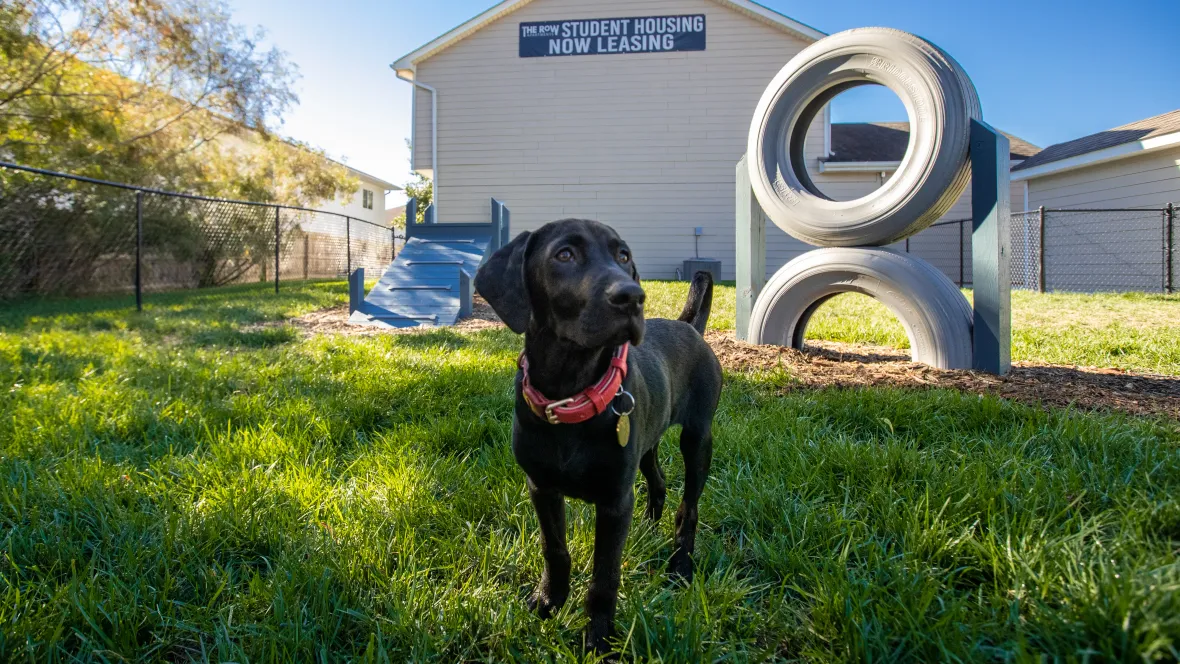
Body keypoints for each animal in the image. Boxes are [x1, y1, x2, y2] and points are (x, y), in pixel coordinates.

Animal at [471, 219, 717, 655]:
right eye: (564, 254)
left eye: (623, 255)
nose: (633, 296)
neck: (569, 394)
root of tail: (689, 326)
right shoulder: (542, 487)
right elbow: (555, 550)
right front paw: (548, 602)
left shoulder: (614, 500)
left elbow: (605, 574)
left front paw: (599, 638)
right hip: (647, 439)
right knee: (658, 481)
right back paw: (648, 528)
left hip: (697, 438)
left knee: (688, 507)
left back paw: (680, 565)